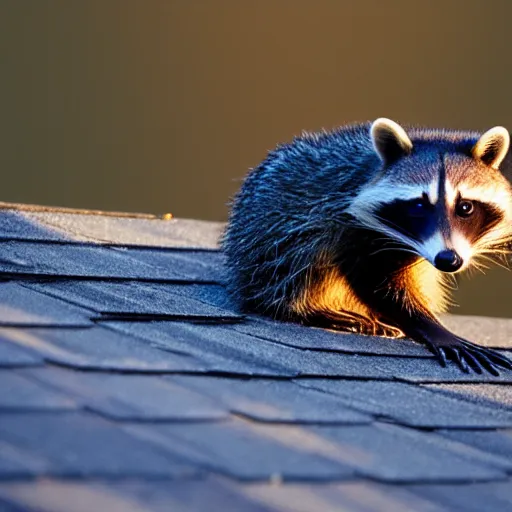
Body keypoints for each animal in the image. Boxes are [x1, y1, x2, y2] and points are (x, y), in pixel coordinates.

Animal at [223, 120, 512, 376]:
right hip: (269, 228)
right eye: (419, 205)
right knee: (295, 265)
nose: (447, 260)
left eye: (465, 207)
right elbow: (375, 283)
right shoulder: (348, 225)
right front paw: (434, 329)